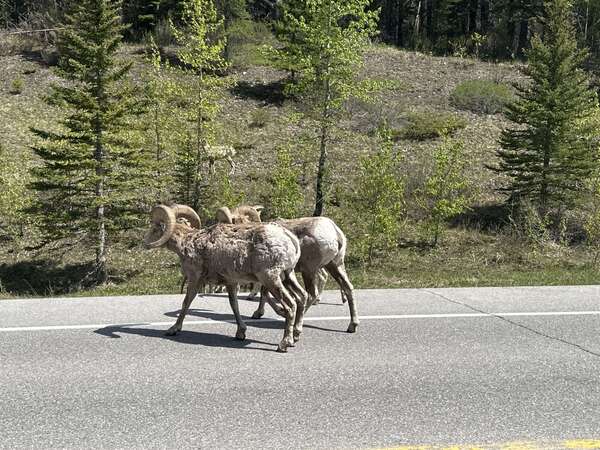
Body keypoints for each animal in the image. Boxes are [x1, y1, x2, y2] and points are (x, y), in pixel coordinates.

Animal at [143, 204, 308, 352]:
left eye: (154, 229)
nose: (145, 244)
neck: (188, 242)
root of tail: (289, 238)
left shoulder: (195, 279)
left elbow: (186, 303)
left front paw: (173, 329)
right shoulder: (231, 282)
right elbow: (234, 305)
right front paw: (240, 333)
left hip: (271, 278)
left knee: (291, 305)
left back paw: (284, 344)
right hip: (288, 275)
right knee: (302, 297)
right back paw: (296, 336)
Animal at [217, 206, 358, 332]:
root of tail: (334, 232)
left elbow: (265, 294)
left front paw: (270, 312)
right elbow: (265, 294)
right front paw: (259, 313)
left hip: (309, 270)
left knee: (311, 294)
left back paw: (296, 325)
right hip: (335, 265)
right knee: (348, 288)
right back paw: (352, 326)